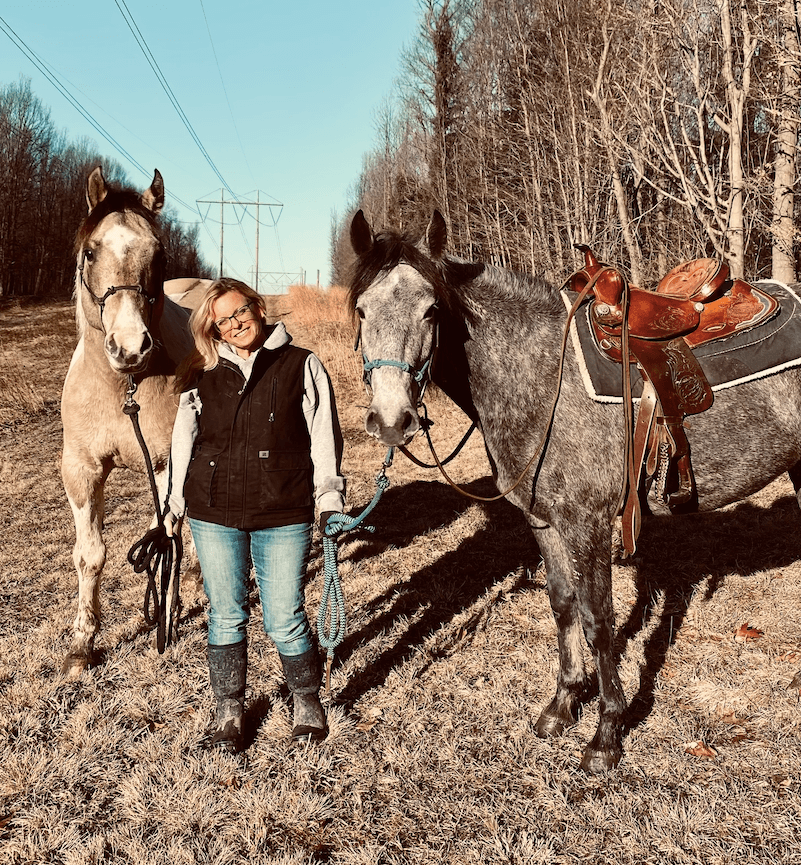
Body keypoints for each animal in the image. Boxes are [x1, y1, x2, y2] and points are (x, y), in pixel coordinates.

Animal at [61, 169, 198, 680]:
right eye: (90, 251)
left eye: (158, 253)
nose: (130, 347)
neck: (124, 388)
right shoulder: (80, 470)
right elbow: (90, 555)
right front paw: (81, 646)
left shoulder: (169, 463)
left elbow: (167, 537)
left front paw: (169, 614)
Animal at [350, 211, 801, 776]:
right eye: (361, 310)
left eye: (431, 310)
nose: (392, 420)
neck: (542, 375)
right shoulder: (542, 520)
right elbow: (563, 605)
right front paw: (563, 704)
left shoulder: (587, 524)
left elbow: (598, 620)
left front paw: (607, 734)